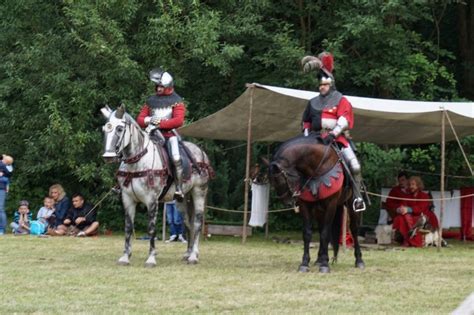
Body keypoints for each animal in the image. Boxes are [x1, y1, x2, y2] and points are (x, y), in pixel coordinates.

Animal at [101, 105, 213, 266]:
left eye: (120, 129)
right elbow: (128, 227)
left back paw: (193, 256)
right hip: (182, 199)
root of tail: (202, 153)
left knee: (197, 222)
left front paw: (151, 258)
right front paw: (125, 257)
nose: (108, 157)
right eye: (105, 129)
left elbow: (151, 229)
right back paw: (188, 253)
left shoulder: (151, 201)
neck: (137, 161)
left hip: (199, 192)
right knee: (187, 223)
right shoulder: (128, 200)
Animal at [268, 136, 364, 274]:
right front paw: (305, 263)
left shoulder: (331, 205)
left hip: (351, 203)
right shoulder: (305, 206)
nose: (288, 201)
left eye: (279, 180)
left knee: (354, 229)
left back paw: (359, 260)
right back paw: (319, 259)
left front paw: (324, 265)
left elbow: (325, 233)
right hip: (319, 210)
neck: (316, 166)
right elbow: (308, 233)